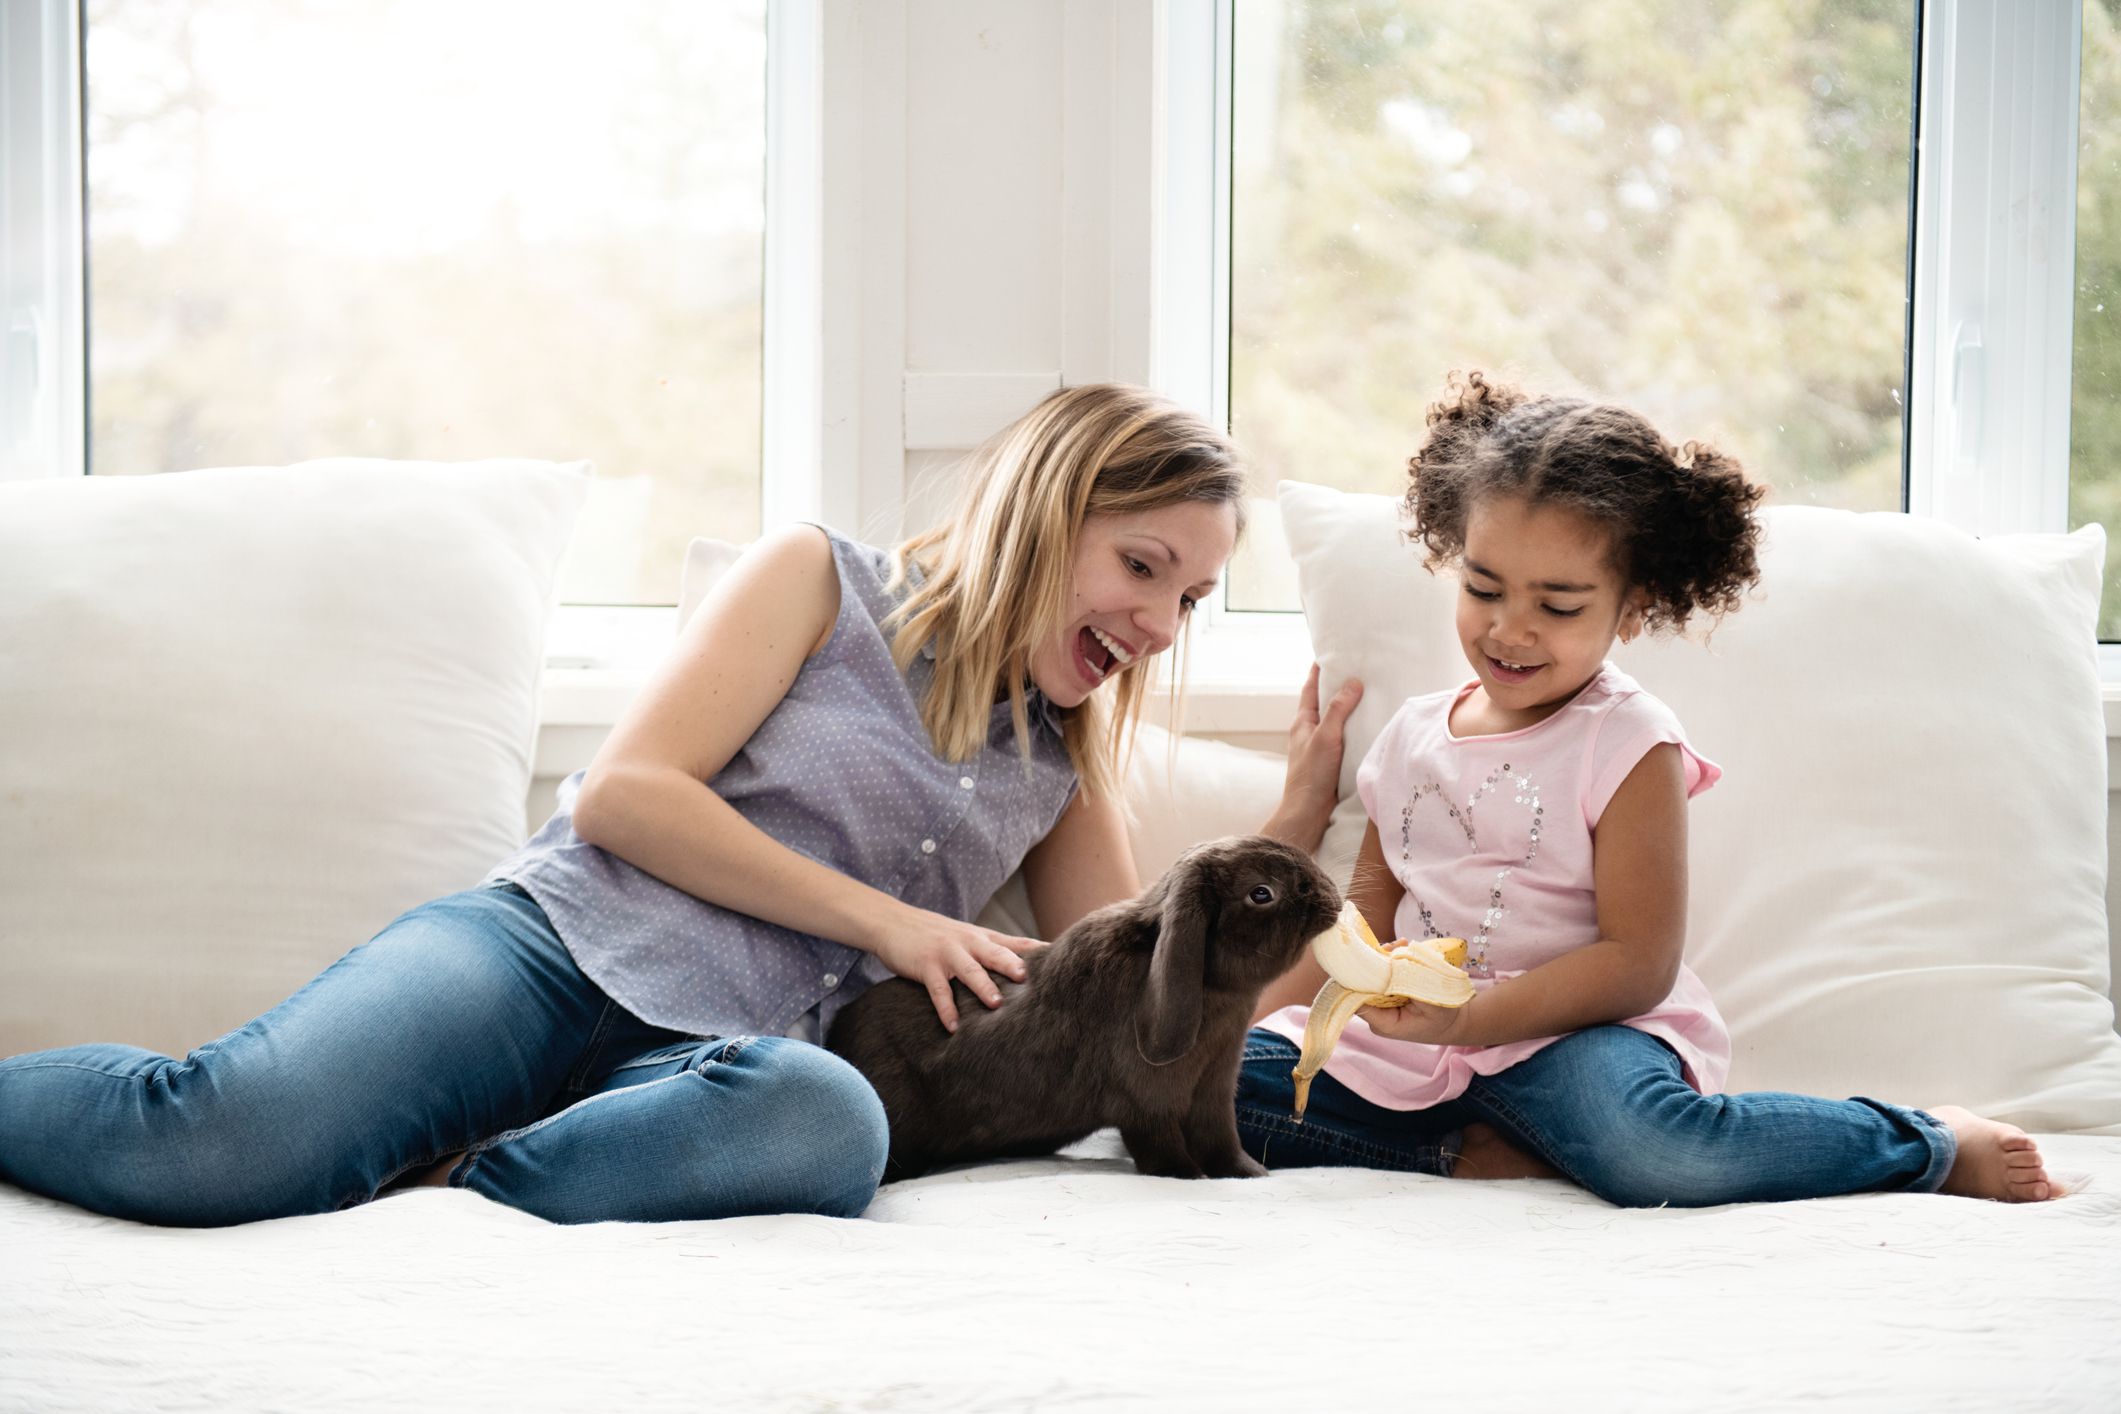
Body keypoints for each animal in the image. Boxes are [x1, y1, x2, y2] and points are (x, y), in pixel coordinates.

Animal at [818, 839, 1331, 1187]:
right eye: (1262, 893)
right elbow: (1162, 1148)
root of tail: (836, 1035)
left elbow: (1221, 1140)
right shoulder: (1148, 1103)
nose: (1330, 895)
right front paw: (1189, 1177)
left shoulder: (1215, 1090)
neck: (1213, 998)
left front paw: (1251, 1175)